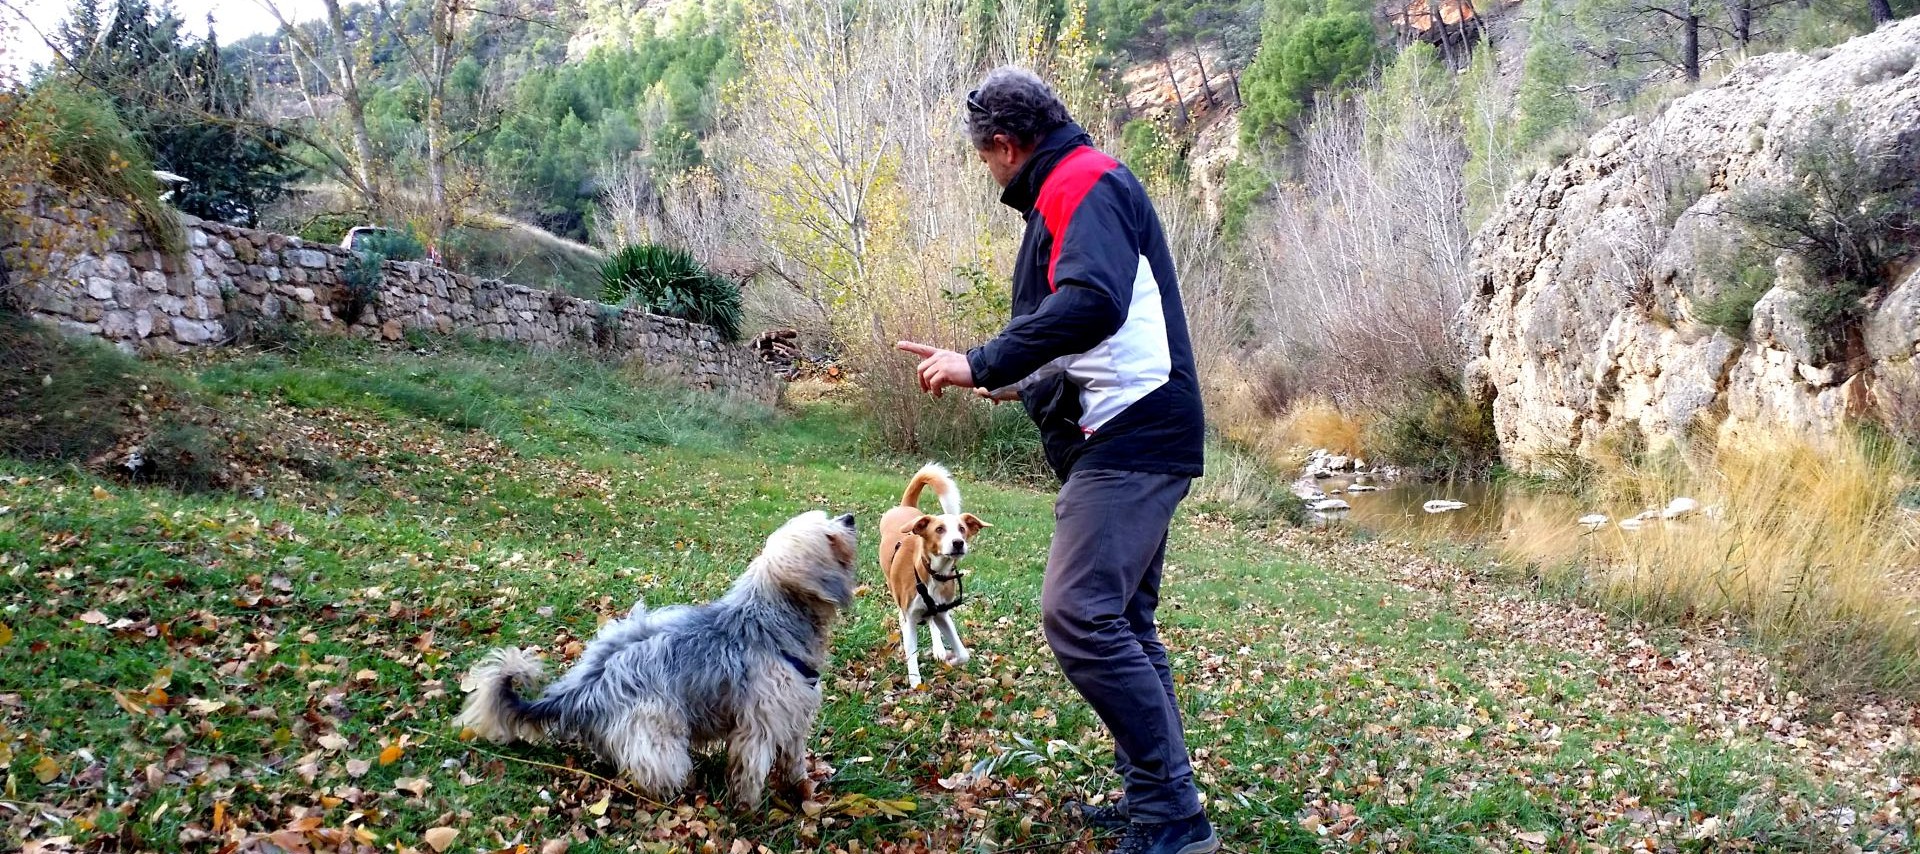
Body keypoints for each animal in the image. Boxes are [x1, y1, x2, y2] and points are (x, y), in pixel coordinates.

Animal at [455, 510, 856, 809]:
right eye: (829, 537)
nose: (850, 518)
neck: (766, 624)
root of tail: (584, 686)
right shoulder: (759, 726)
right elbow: (750, 773)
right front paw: (749, 810)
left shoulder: (795, 713)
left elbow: (794, 759)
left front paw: (801, 788)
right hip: (659, 731)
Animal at [875, 458, 983, 687]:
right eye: (939, 529)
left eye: (962, 529)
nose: (958, 543)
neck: (934, 573)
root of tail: (905, 507)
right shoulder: (910, 617)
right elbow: (911, 652)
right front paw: (916, 683)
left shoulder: (942, 611)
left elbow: (963, 653)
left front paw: (951, 659)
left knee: (932, 621)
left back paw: (939, 649)